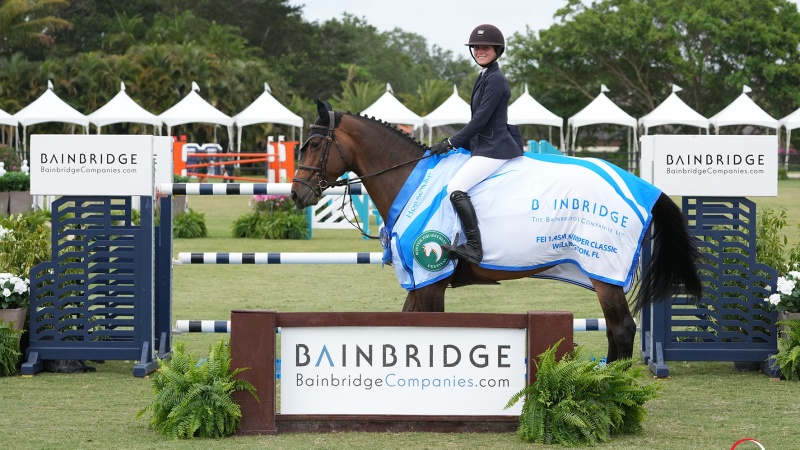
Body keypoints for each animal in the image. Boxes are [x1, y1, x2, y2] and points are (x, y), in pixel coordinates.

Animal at [292, 99, 700, 362]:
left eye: (313, 144)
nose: (297, 194)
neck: (409, 179)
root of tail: (641, 185)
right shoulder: (418, 281)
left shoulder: (431, 280)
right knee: (617, 331)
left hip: (605, 270)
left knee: (623, 329)